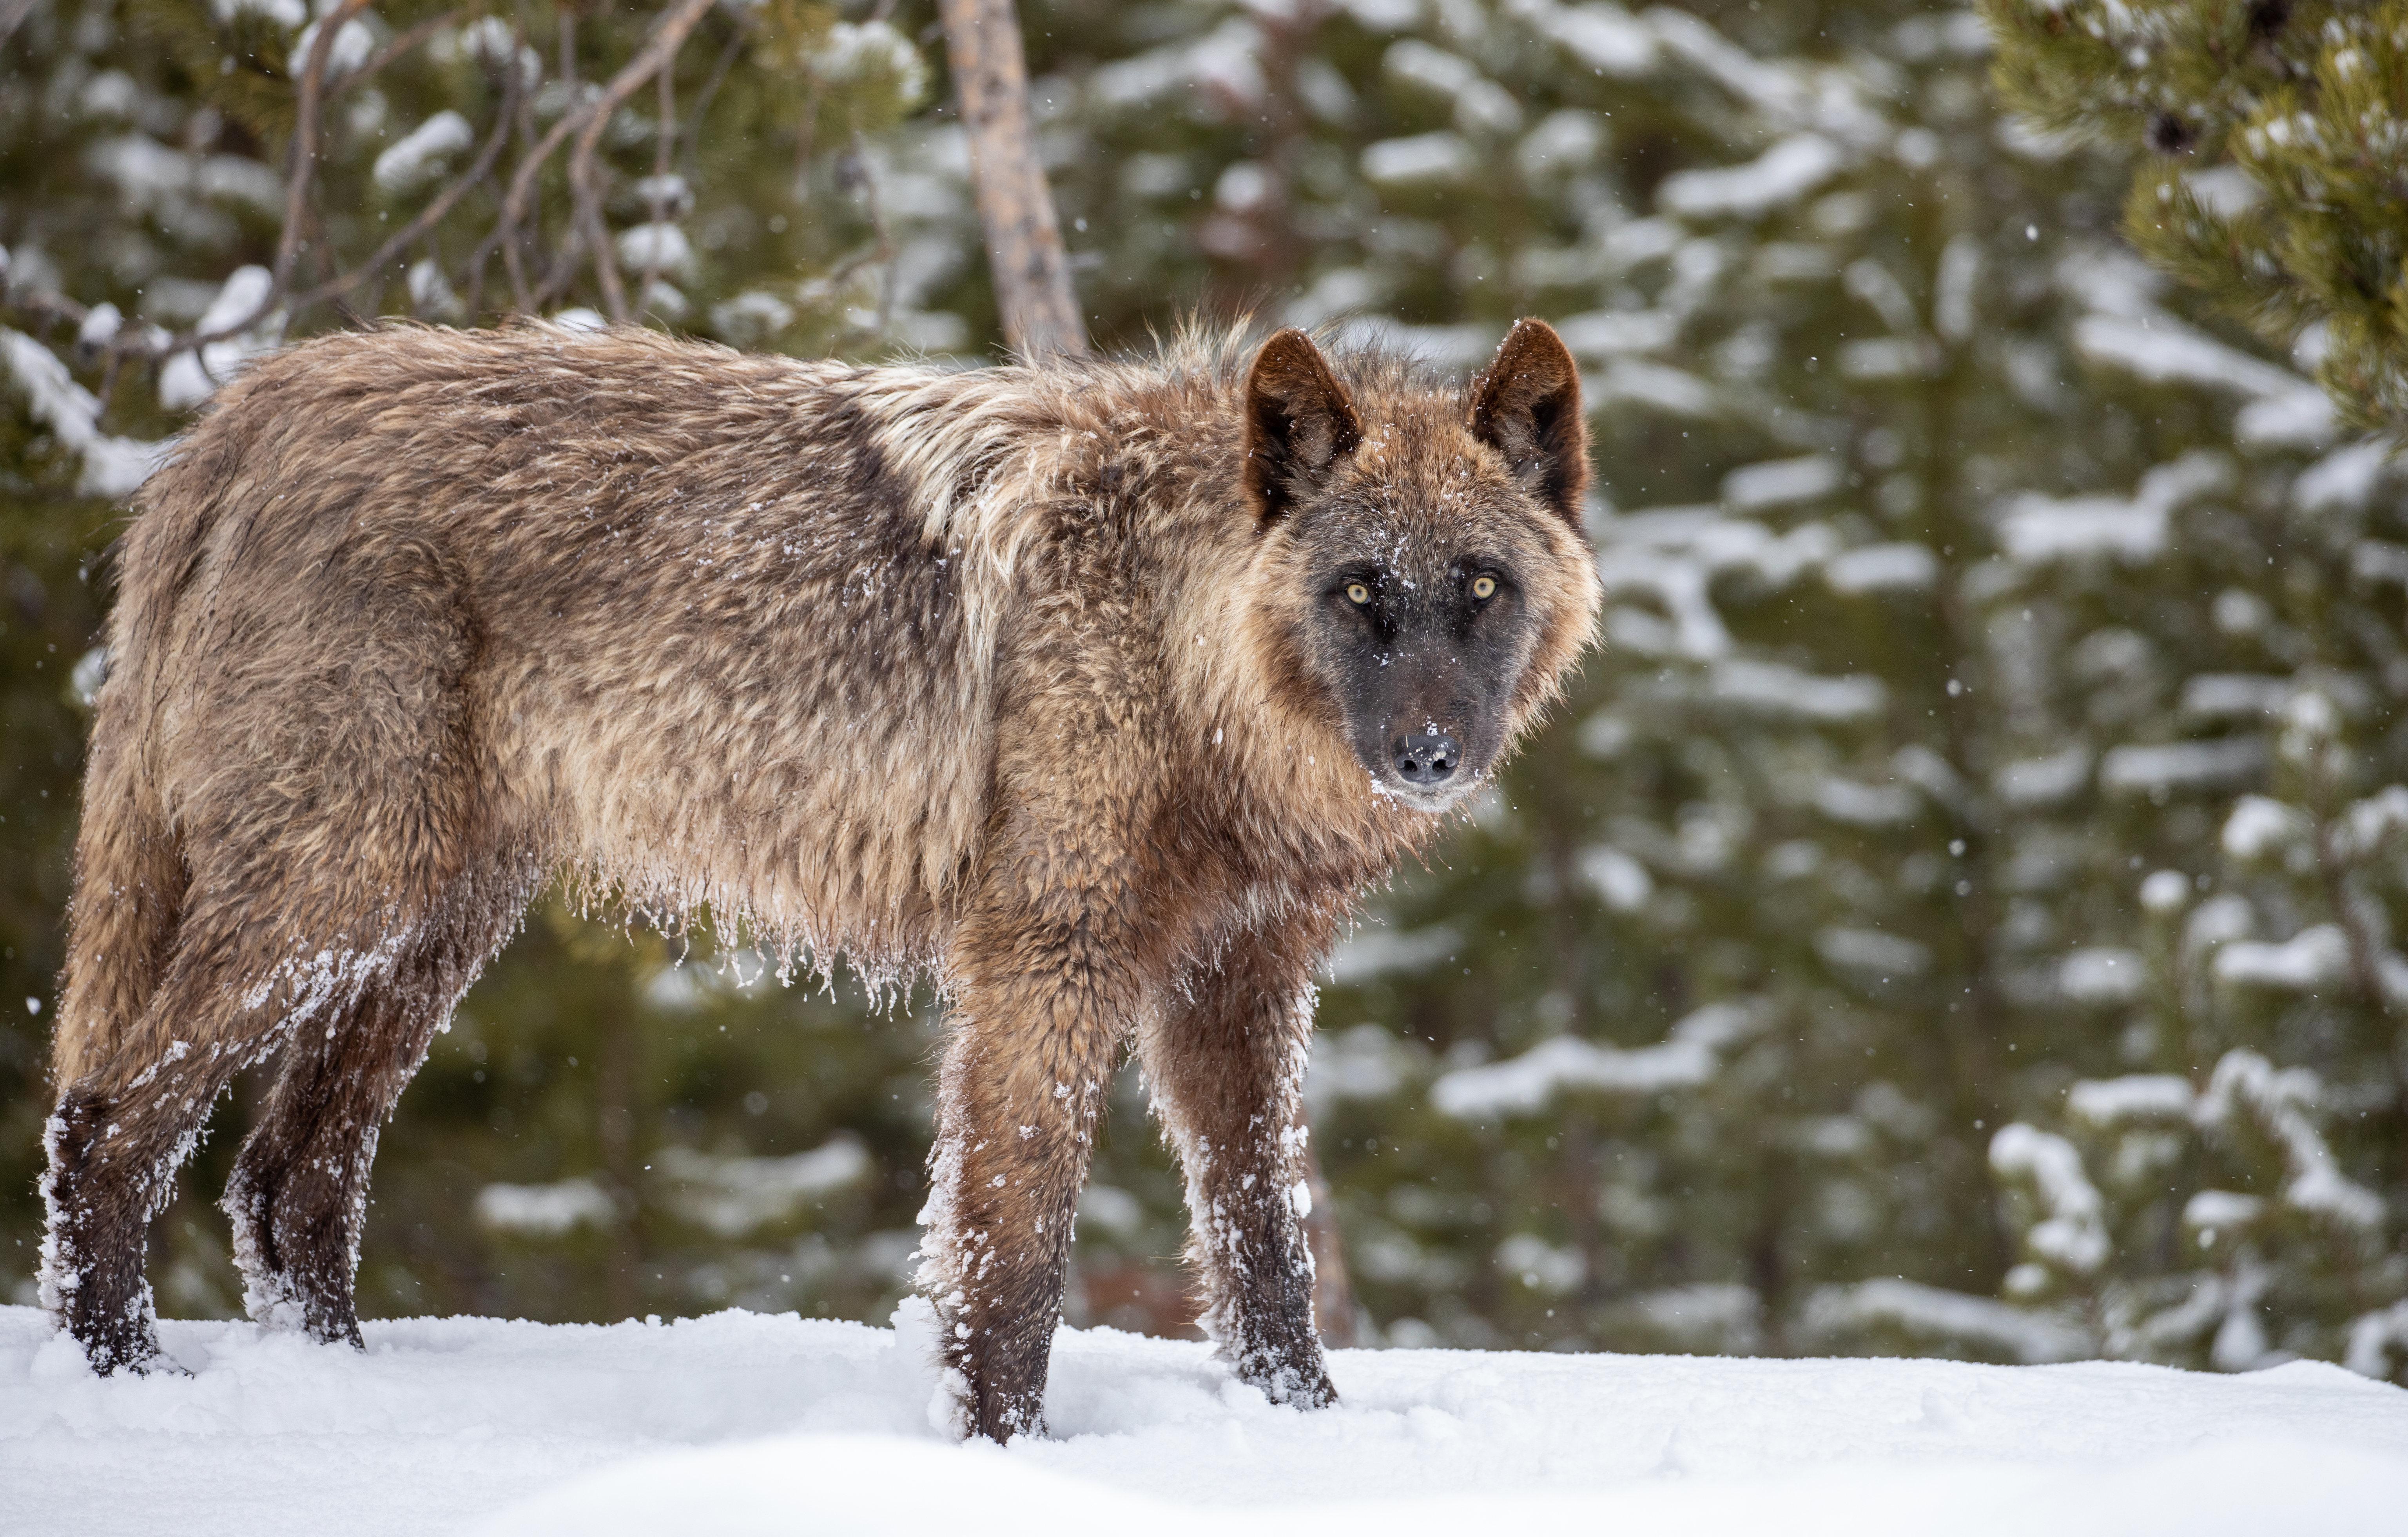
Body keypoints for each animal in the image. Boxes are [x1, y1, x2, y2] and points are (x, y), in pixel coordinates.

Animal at [39, 315, 1601, 1439]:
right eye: (1358, 591)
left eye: (1478, 588)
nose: (1427, 753)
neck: (1180, 646)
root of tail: (244, 411)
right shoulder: (1046, 957)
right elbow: (1011, 1243)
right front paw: (1003, 1450)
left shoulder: (1238, 986)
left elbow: (1264, 1242)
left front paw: (1304, 1435)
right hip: (341, 899)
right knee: (110, 1121)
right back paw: (131, 1387)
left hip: (426, 928)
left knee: (284, 1178)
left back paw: (344, 1396)